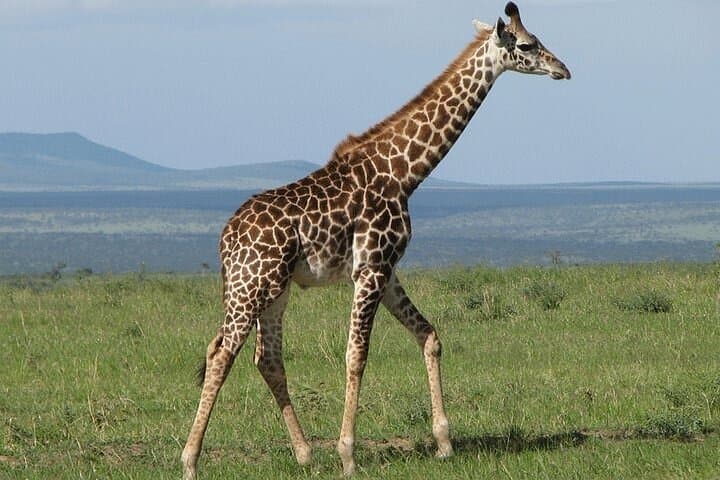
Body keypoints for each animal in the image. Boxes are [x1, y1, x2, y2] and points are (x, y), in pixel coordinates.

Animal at [181, 2, 570, 478]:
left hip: (275, 289)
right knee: (221, 354)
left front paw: (444, 443)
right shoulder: (371, 269)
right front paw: (348, 454)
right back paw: (191, 461)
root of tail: (226, 239)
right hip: (252, 285)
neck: (404, 173)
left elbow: (429, 335)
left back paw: (304, 454)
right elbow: (356, 355)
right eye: (529, 45)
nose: (563, 69)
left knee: (267, 358)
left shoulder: (387, 269)